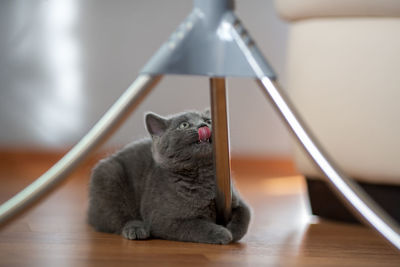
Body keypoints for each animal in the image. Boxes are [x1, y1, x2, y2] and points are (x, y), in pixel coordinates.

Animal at [88, 110, 250, 245]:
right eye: (184, 125)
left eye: (208, 120)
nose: (203, 125)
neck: (201, 174)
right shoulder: (161, 219)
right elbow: (195, 225)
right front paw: (222, 233)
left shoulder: (235, 199)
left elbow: (245, 215)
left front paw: (233, 230)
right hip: (109, 176)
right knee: (117, 218)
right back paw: (136, 229)